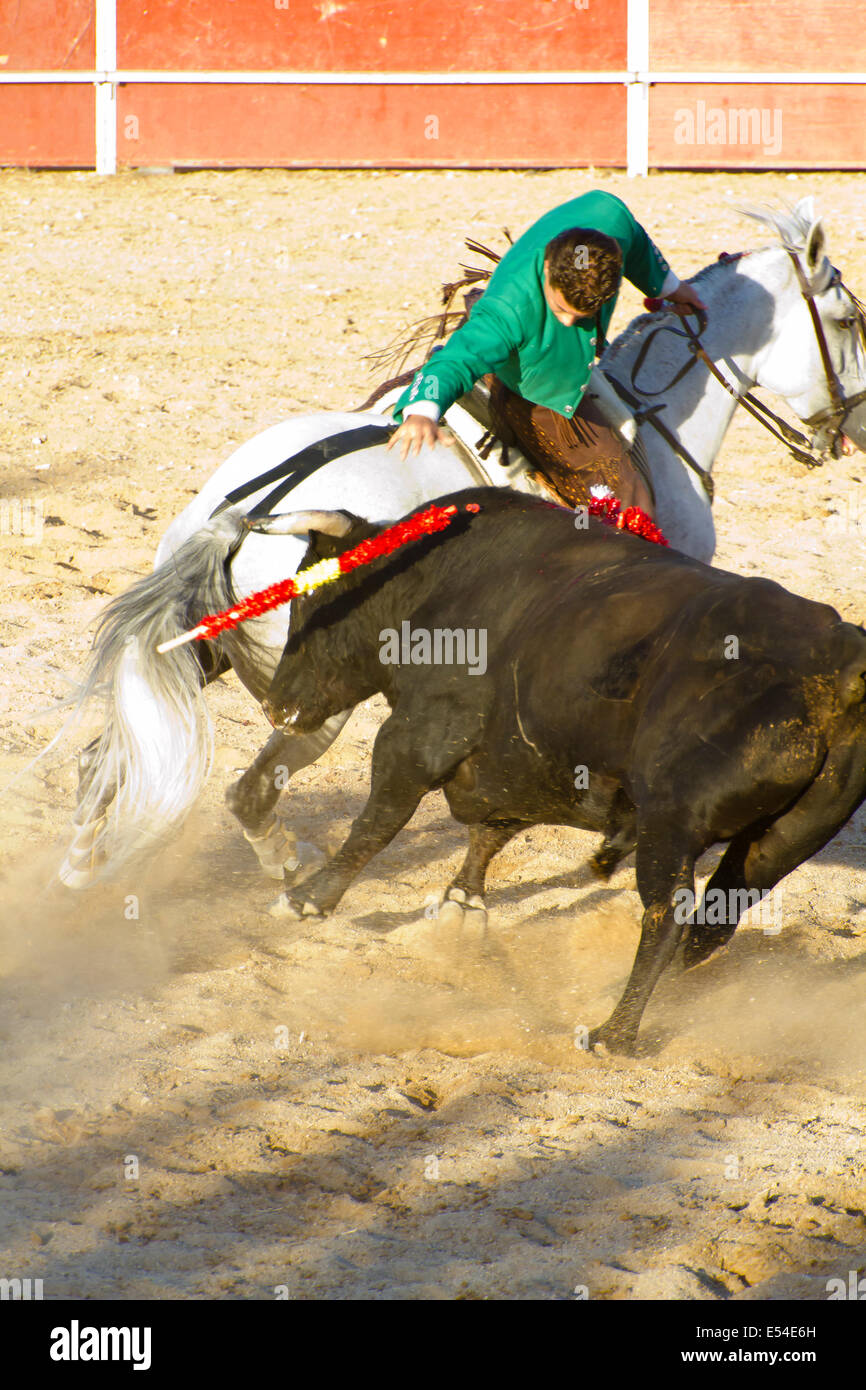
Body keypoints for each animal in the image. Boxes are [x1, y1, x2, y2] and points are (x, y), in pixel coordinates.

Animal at [59, 197, 866, 889]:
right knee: (249, 793)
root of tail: (235, 515)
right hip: (318, 694)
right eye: (848, 318)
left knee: (109, 759)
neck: (658, 416)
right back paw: (286, 870)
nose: (852, 424)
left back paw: (80, 869)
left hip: (208, 654)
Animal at [261, 492, 866, 1050]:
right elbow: (489, 832)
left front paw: (307, 900)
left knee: (668, 913)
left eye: (310, 603)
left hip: (671, 823)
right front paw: (462, 905)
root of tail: (835, 660)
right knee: (717, 920)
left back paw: (613, 1033)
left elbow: (378, 822)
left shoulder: (418, 733)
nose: (275, 704)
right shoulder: (521, 763)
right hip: (782, 842)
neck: (439, 582)